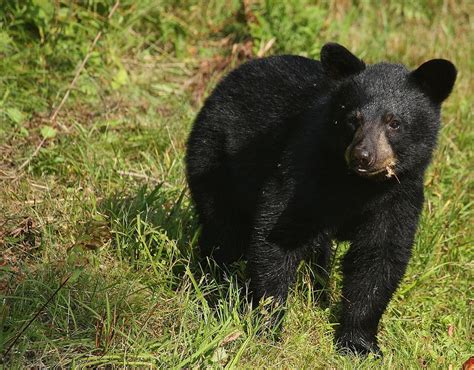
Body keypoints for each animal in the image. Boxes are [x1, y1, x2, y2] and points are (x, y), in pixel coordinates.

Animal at [184, 42, 456, 354]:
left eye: (394, 122)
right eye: (352, 119)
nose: (363, 156)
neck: (357, 185)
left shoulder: (399, 196)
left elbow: (379, 257)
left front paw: (359, 344)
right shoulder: (302, 172)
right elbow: (275, 235)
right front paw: (268, 327)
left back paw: (318, 293)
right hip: (214, 157)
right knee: (223, 230)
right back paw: (215, 286)